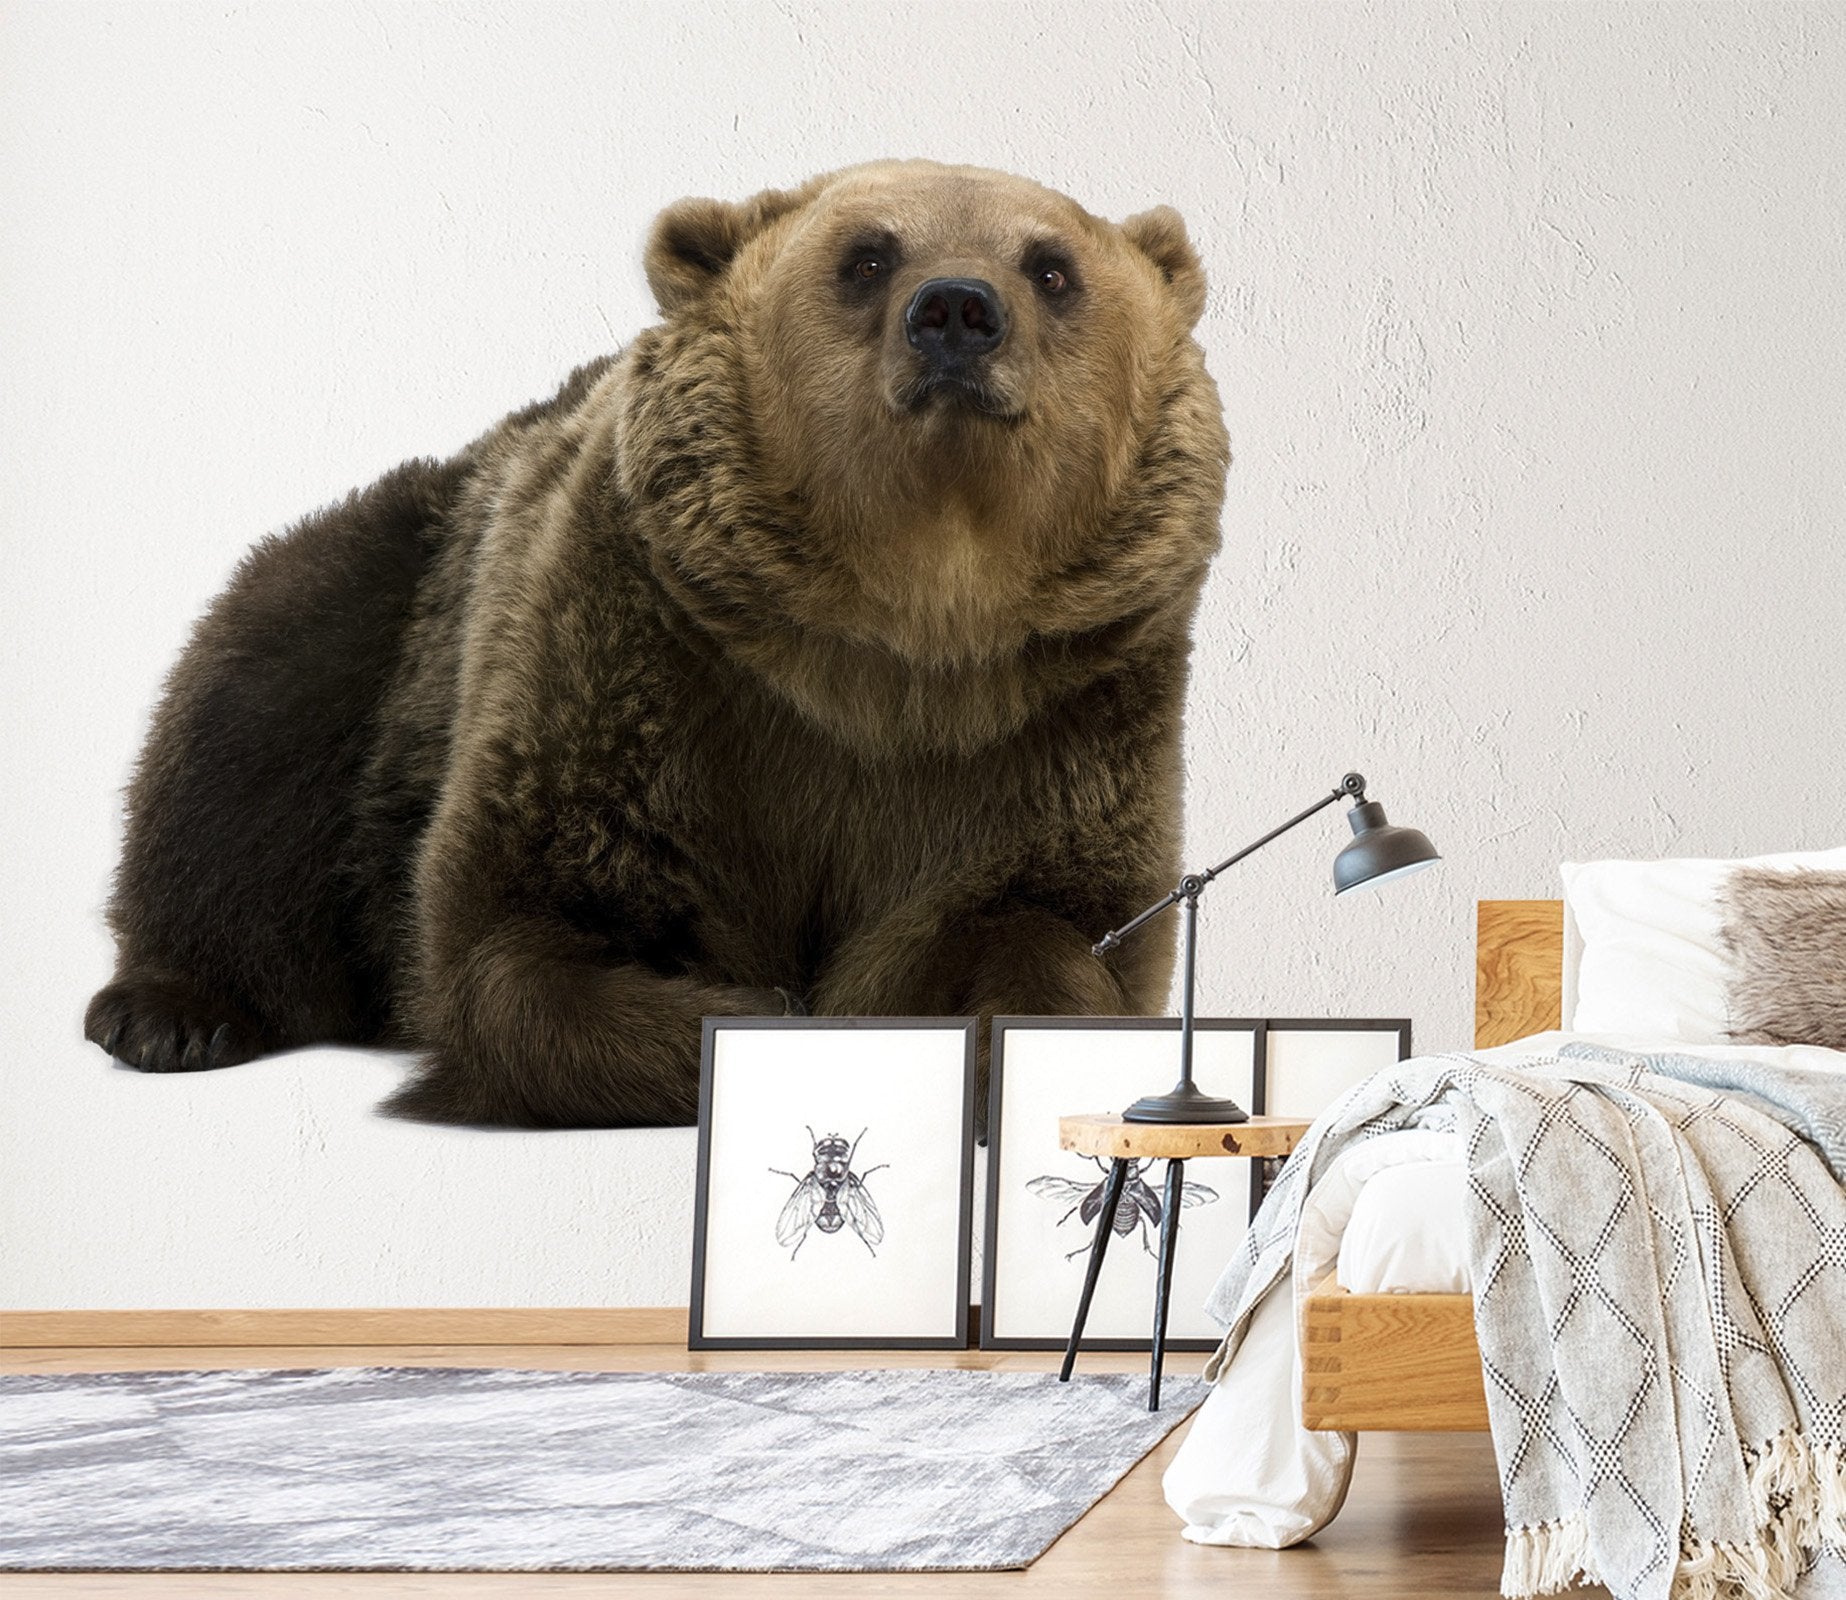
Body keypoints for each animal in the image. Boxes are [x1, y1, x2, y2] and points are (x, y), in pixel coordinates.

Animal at [83, 159, 1230, 1128]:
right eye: (865, 255)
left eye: (1052, 265)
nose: (956, 310)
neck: (895, 635)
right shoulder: (638, 661)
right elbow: (518, 932)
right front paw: (763, 1012)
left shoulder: (1053, 718)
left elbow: (1046, 922)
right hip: (390, 622)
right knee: (250, 714)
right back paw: (169, 1013)